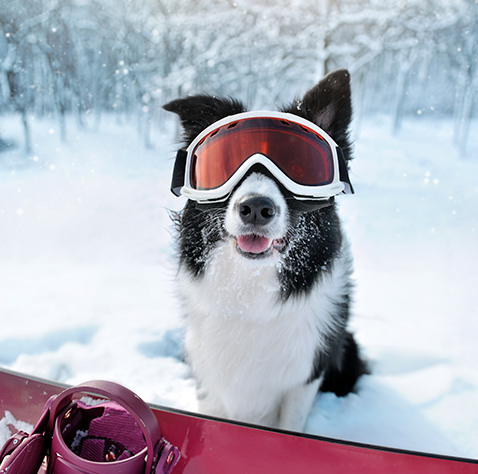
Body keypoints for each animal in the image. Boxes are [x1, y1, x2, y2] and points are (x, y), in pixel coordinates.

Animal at [162, 68, 368, 432]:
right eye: (224, 162)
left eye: (300, 165)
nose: (256, 208)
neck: (249, 292)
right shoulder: (209, 374)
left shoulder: (306, 374)